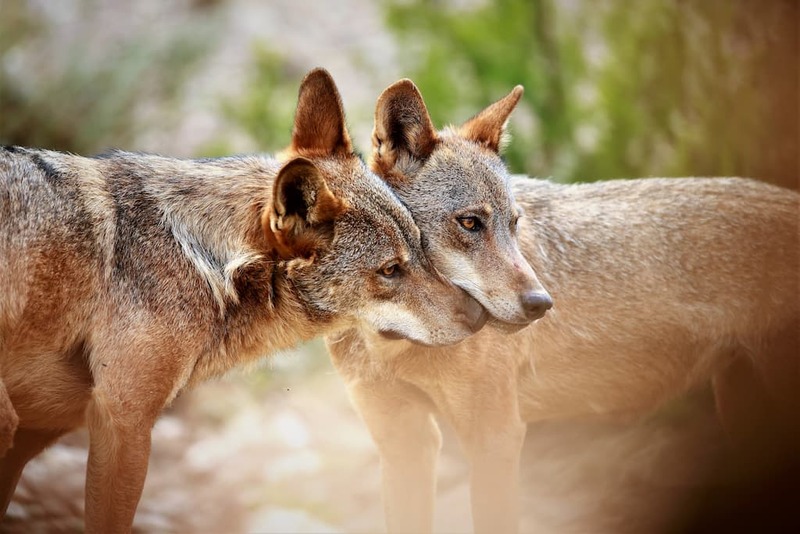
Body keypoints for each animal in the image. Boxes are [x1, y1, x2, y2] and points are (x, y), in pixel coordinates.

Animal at [0, 69, 486, 533]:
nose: (480, 315)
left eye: (420, 246)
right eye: (390, 270)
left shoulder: (39, 432)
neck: (202, 259)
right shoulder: (124, 420)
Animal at [327, 79, 800, 533]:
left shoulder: (496, 438)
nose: (541, 304)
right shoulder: (406, 445)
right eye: (470, 223)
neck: (395, 343)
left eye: (514, 224)